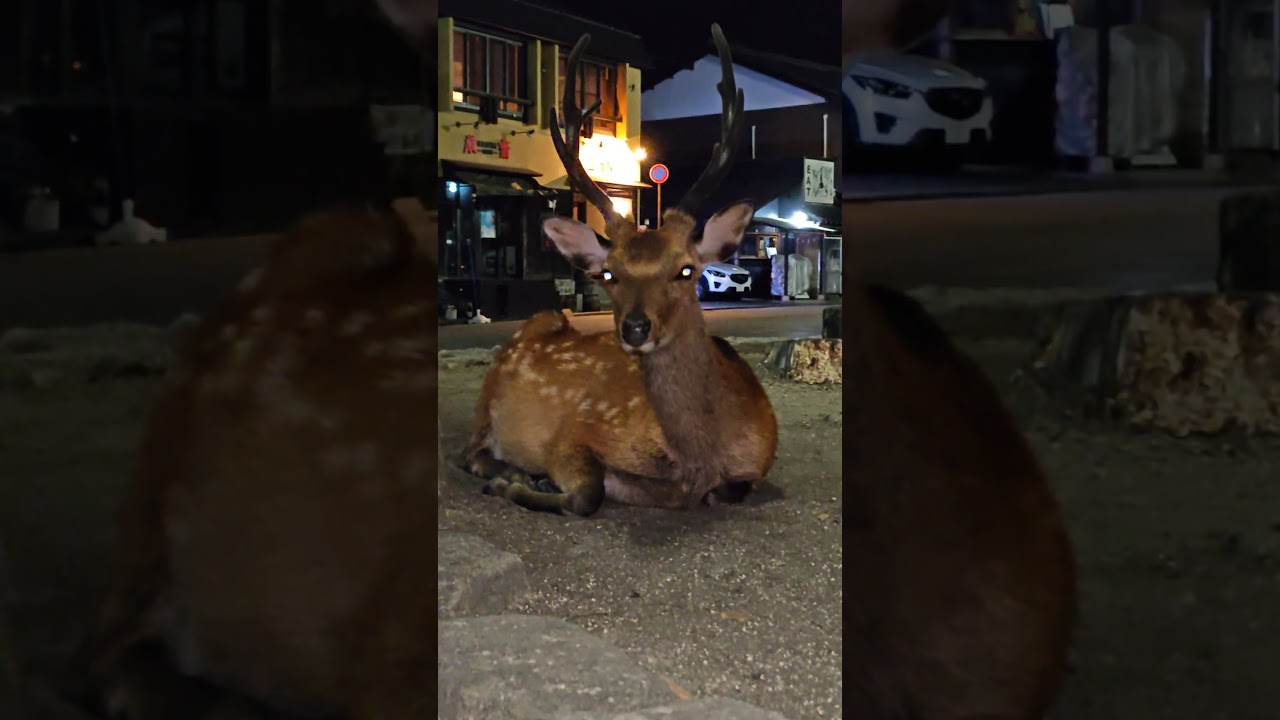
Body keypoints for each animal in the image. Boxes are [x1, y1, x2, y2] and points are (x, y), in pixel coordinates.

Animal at [462, 26, 778, 517]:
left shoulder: (759, 462)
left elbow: (728, 490)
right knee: (469, 452)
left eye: (686, 270)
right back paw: (510, 472)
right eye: (609, 273)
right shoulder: (571, 434)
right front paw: (520, 484)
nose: (634, 328)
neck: (700, 456)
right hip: (488, 396)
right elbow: (588, 494)